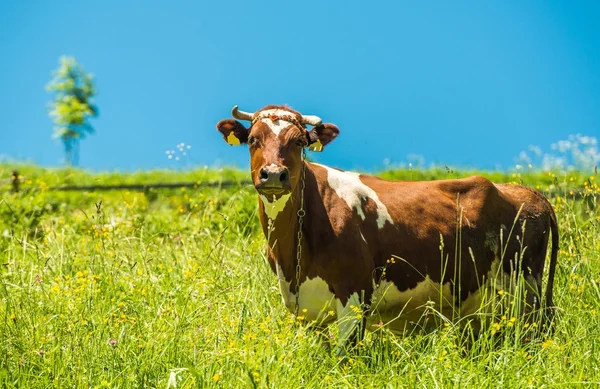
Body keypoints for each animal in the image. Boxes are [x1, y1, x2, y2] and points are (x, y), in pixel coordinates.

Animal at [216, 103, 556, 354]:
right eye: (253, 140)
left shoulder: (355, 297)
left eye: (299, 141)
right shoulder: (304, 307)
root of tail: (528, 192)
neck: (294, 253)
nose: (274, 174)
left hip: (525, 290)